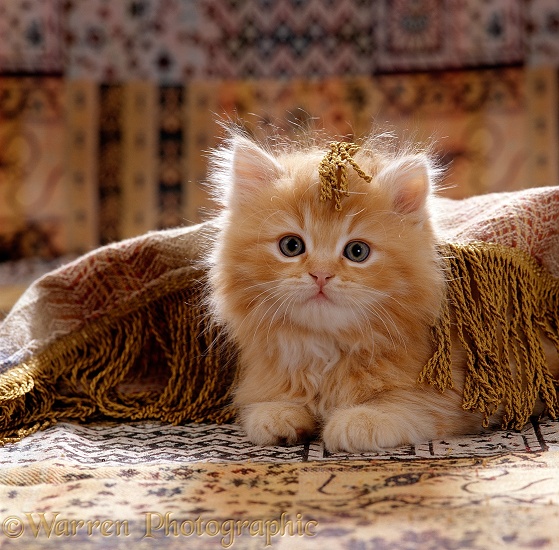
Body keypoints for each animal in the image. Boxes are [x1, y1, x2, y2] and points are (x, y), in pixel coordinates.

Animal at [208, 129, 488, 452]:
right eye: (291, 246)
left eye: (357, 251)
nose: (321, 274)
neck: (327, 351)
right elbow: (267, 401)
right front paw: (277, 413)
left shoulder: (456, 390)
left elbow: (410, 404)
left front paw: (359, 420)